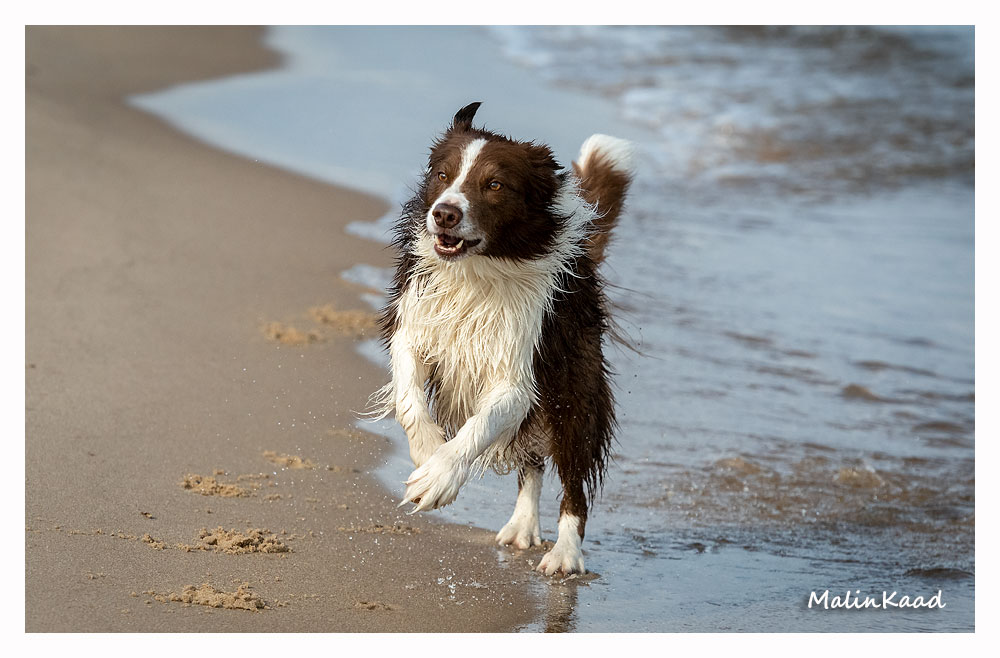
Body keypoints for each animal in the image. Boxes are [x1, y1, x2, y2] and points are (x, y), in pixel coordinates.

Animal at [374, 102, 633, 575]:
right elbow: (408, 398)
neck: (478, 272)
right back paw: (522, 526)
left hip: (573, 387)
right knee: (531, 464)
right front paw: (426, 451)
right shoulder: (414, 327)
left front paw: (438, 477)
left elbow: (480, 425)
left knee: (574, 479)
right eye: (443, 174)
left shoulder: (519, 374)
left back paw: (565, 554)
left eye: (493, 185)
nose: (444, 213)